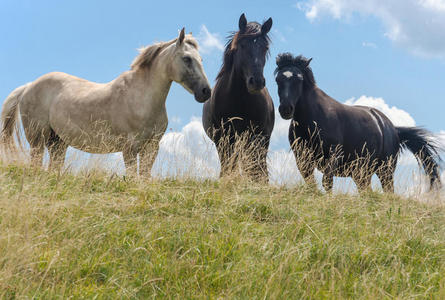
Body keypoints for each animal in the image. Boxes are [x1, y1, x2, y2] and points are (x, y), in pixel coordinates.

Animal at [0, 28, 211, 176]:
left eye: (201, 59)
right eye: (187, 58)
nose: (206, 92)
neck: (141, 98)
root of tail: (28, 86)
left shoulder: (151, 147)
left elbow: (144, 177)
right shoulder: (130, 149)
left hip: (57, 143)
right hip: (38, 140)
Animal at [202, 14, 274, 182]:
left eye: (265, 48)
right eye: (242, 46)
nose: (257, 82)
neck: (240, 100)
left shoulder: (259, 136)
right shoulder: (224, 137)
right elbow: (228, 166)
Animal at [274, 53, 440, 193]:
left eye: (299, 79)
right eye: (278, 80)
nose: (286, 109)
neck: (312, 121)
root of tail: (393, 129)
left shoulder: (333, 156)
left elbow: (327, 182)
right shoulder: (302, 159)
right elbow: (311, 184)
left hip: (385, 170)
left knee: (388, 190)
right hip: (362, 174)